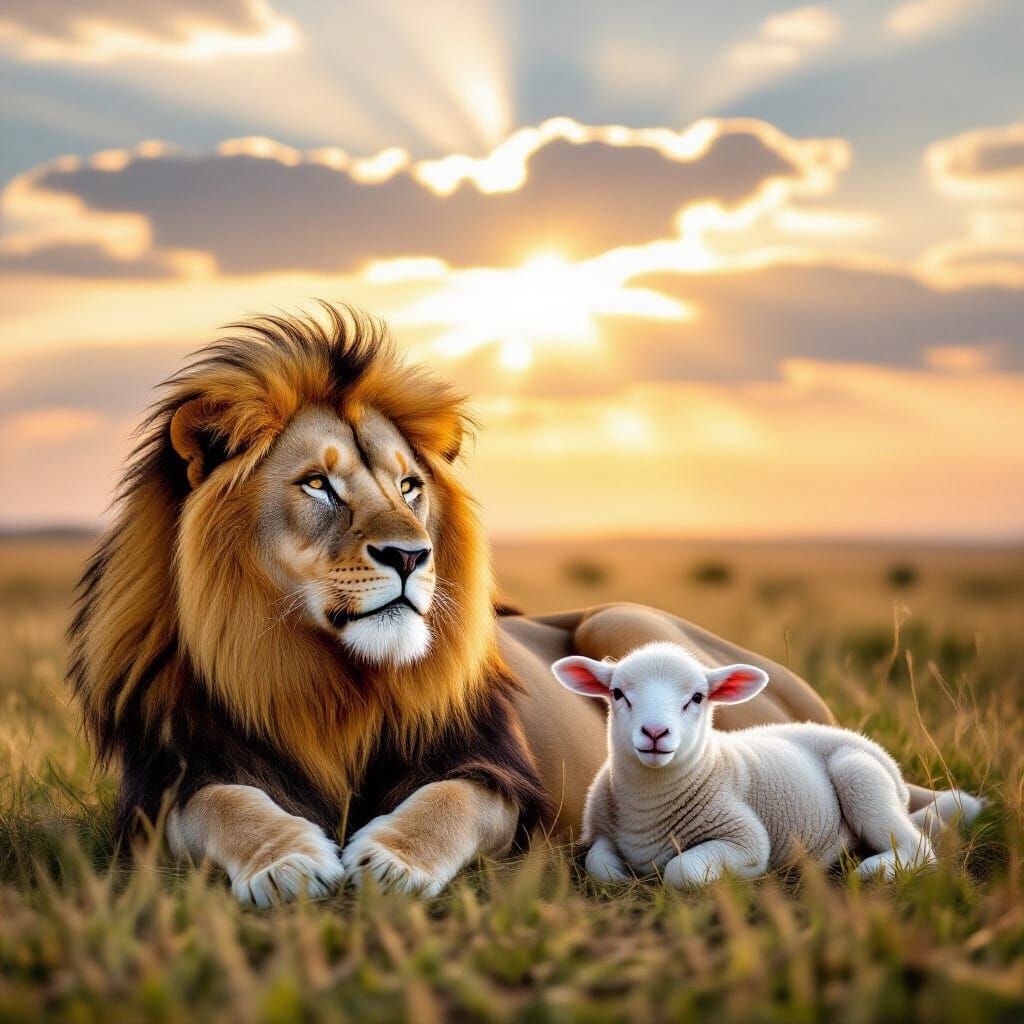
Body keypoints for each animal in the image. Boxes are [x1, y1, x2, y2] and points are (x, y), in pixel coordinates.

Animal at [551, 642, 936, 888]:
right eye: (618, 694)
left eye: (697, 698)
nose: (655, 732)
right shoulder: (599, 832)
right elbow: (598, 865)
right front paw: (620, 875)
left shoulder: (746, 839)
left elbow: (681, 871)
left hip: (860, 777)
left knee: (920, 848)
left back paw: (874, 870)